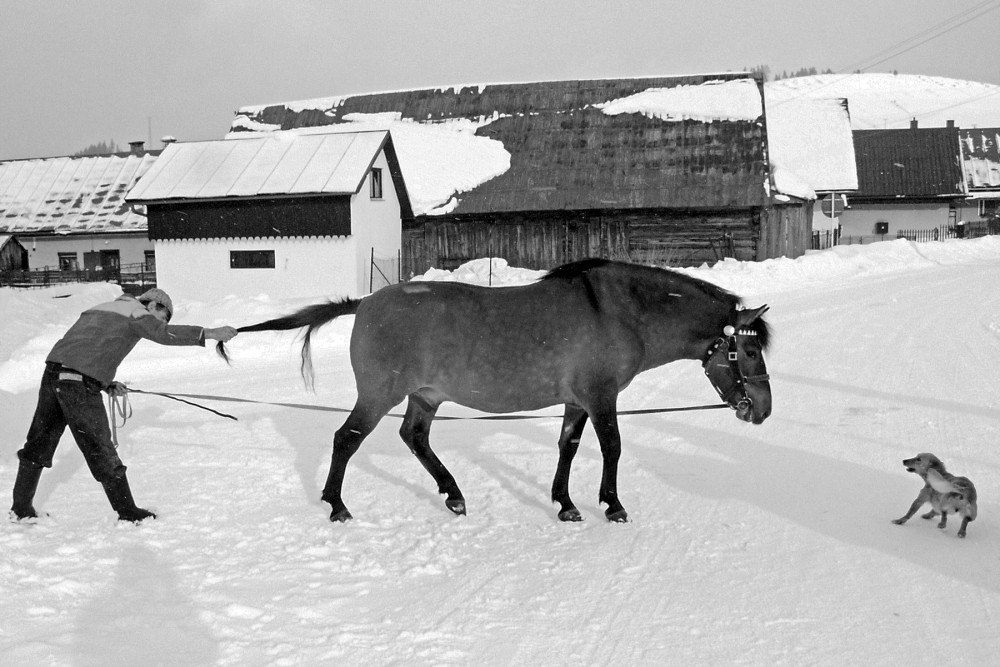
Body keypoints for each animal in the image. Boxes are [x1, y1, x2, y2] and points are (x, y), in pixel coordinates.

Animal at [225, 258, 772, 524]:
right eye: (746, 350)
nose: (763, 409)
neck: (617, 311)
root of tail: (367, 302)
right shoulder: (600, 396)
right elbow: (612, 447)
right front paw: (612, 505)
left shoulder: (576, 400)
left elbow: (568, 447)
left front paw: (564, 503)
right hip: (379, 394)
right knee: (347, 439)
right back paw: (337, 505)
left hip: (426, 394)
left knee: (414, 437)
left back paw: (453, 495)